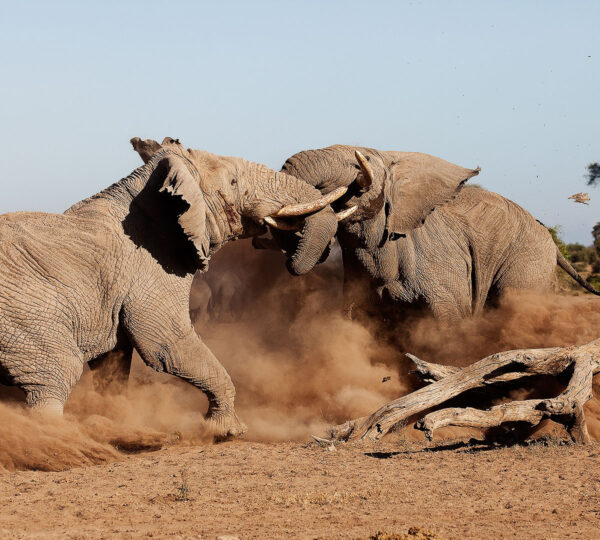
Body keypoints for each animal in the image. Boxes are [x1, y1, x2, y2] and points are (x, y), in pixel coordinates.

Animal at [0, 137, 352, 436]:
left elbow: (116, 357)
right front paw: (227, 431)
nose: (291, 261)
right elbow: (166, 343)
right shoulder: (149, 265)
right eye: (234, 183)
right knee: (57, 372)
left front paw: (111, 417)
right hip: (25, 317)